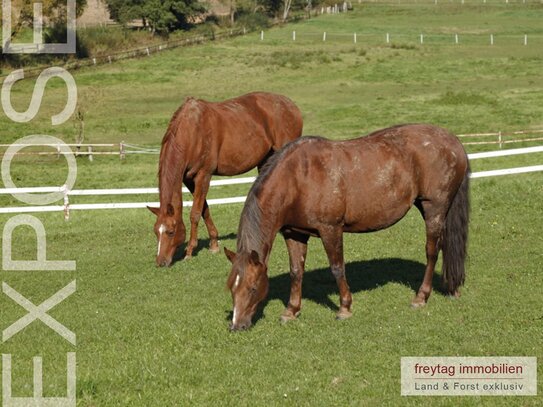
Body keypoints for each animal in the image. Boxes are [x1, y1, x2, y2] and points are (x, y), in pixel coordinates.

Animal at [147, 91, 304, 268]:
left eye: (170, 232)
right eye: (156, 231)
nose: (160, 262)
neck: (192, 131)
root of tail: (291, 106)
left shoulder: (203, 175)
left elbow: (195, 213)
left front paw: (190, 250)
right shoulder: (189, 180)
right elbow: (205, 209)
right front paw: (214, 244)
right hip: (266, 160)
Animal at [225, 123, 472, 332]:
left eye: (253, 287)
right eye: (231, 287)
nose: (237, 326)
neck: (297, 178)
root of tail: (453, 141)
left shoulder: (331, 230)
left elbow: (337, 268)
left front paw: (344, 308)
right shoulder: (294, 234)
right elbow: (296, 271)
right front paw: (291, 310)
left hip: (434, 208)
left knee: (432, 252)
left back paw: (421, 297)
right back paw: (451, 288)